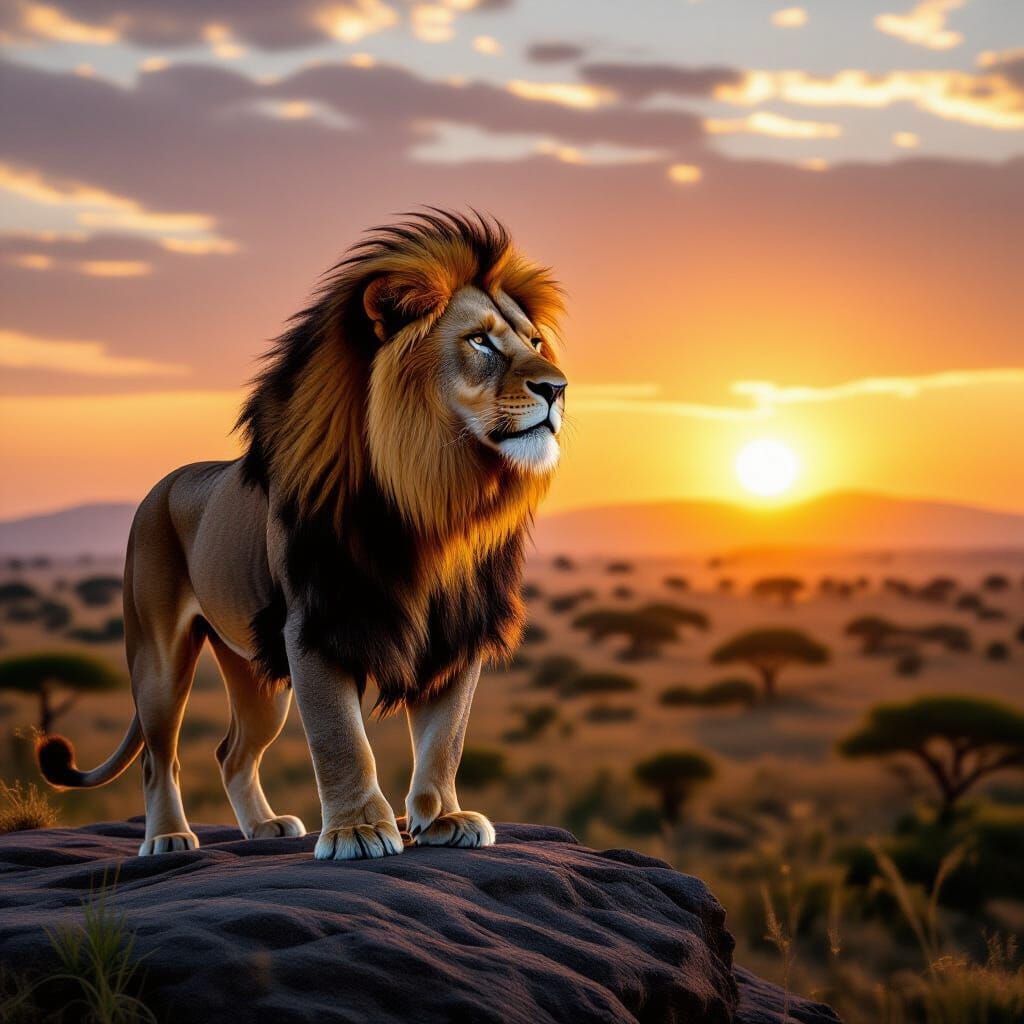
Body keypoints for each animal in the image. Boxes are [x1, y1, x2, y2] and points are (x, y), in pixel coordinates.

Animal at [37, 210, 567, 860]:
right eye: (480, 341)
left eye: (534, 343)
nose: (558, 388)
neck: (437, 500)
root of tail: (164, 483)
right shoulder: (315, 623)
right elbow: (342, 740)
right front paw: (359, 829)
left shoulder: (458, 631)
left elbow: (445, 738)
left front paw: (443, 817)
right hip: (160, 659)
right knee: (160, 758)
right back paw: (168, 837)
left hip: (256, 673)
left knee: (231, 752)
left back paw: (264, 827)